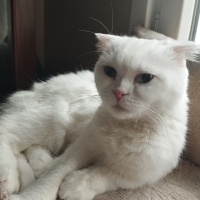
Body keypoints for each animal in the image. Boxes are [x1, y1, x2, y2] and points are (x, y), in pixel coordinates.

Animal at [0, 34, 199, 200]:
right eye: (110, 71)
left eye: (145, 78)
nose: (119, 92)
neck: (126, 128)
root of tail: (35, 88)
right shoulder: (78, 150)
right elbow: (53, 177)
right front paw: (33, 195)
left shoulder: (137, 176)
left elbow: (103, 174)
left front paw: (75, 186)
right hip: (54, 122)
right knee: (8, 132)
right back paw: (8, 177)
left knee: (30, 148)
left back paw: (39, 165)